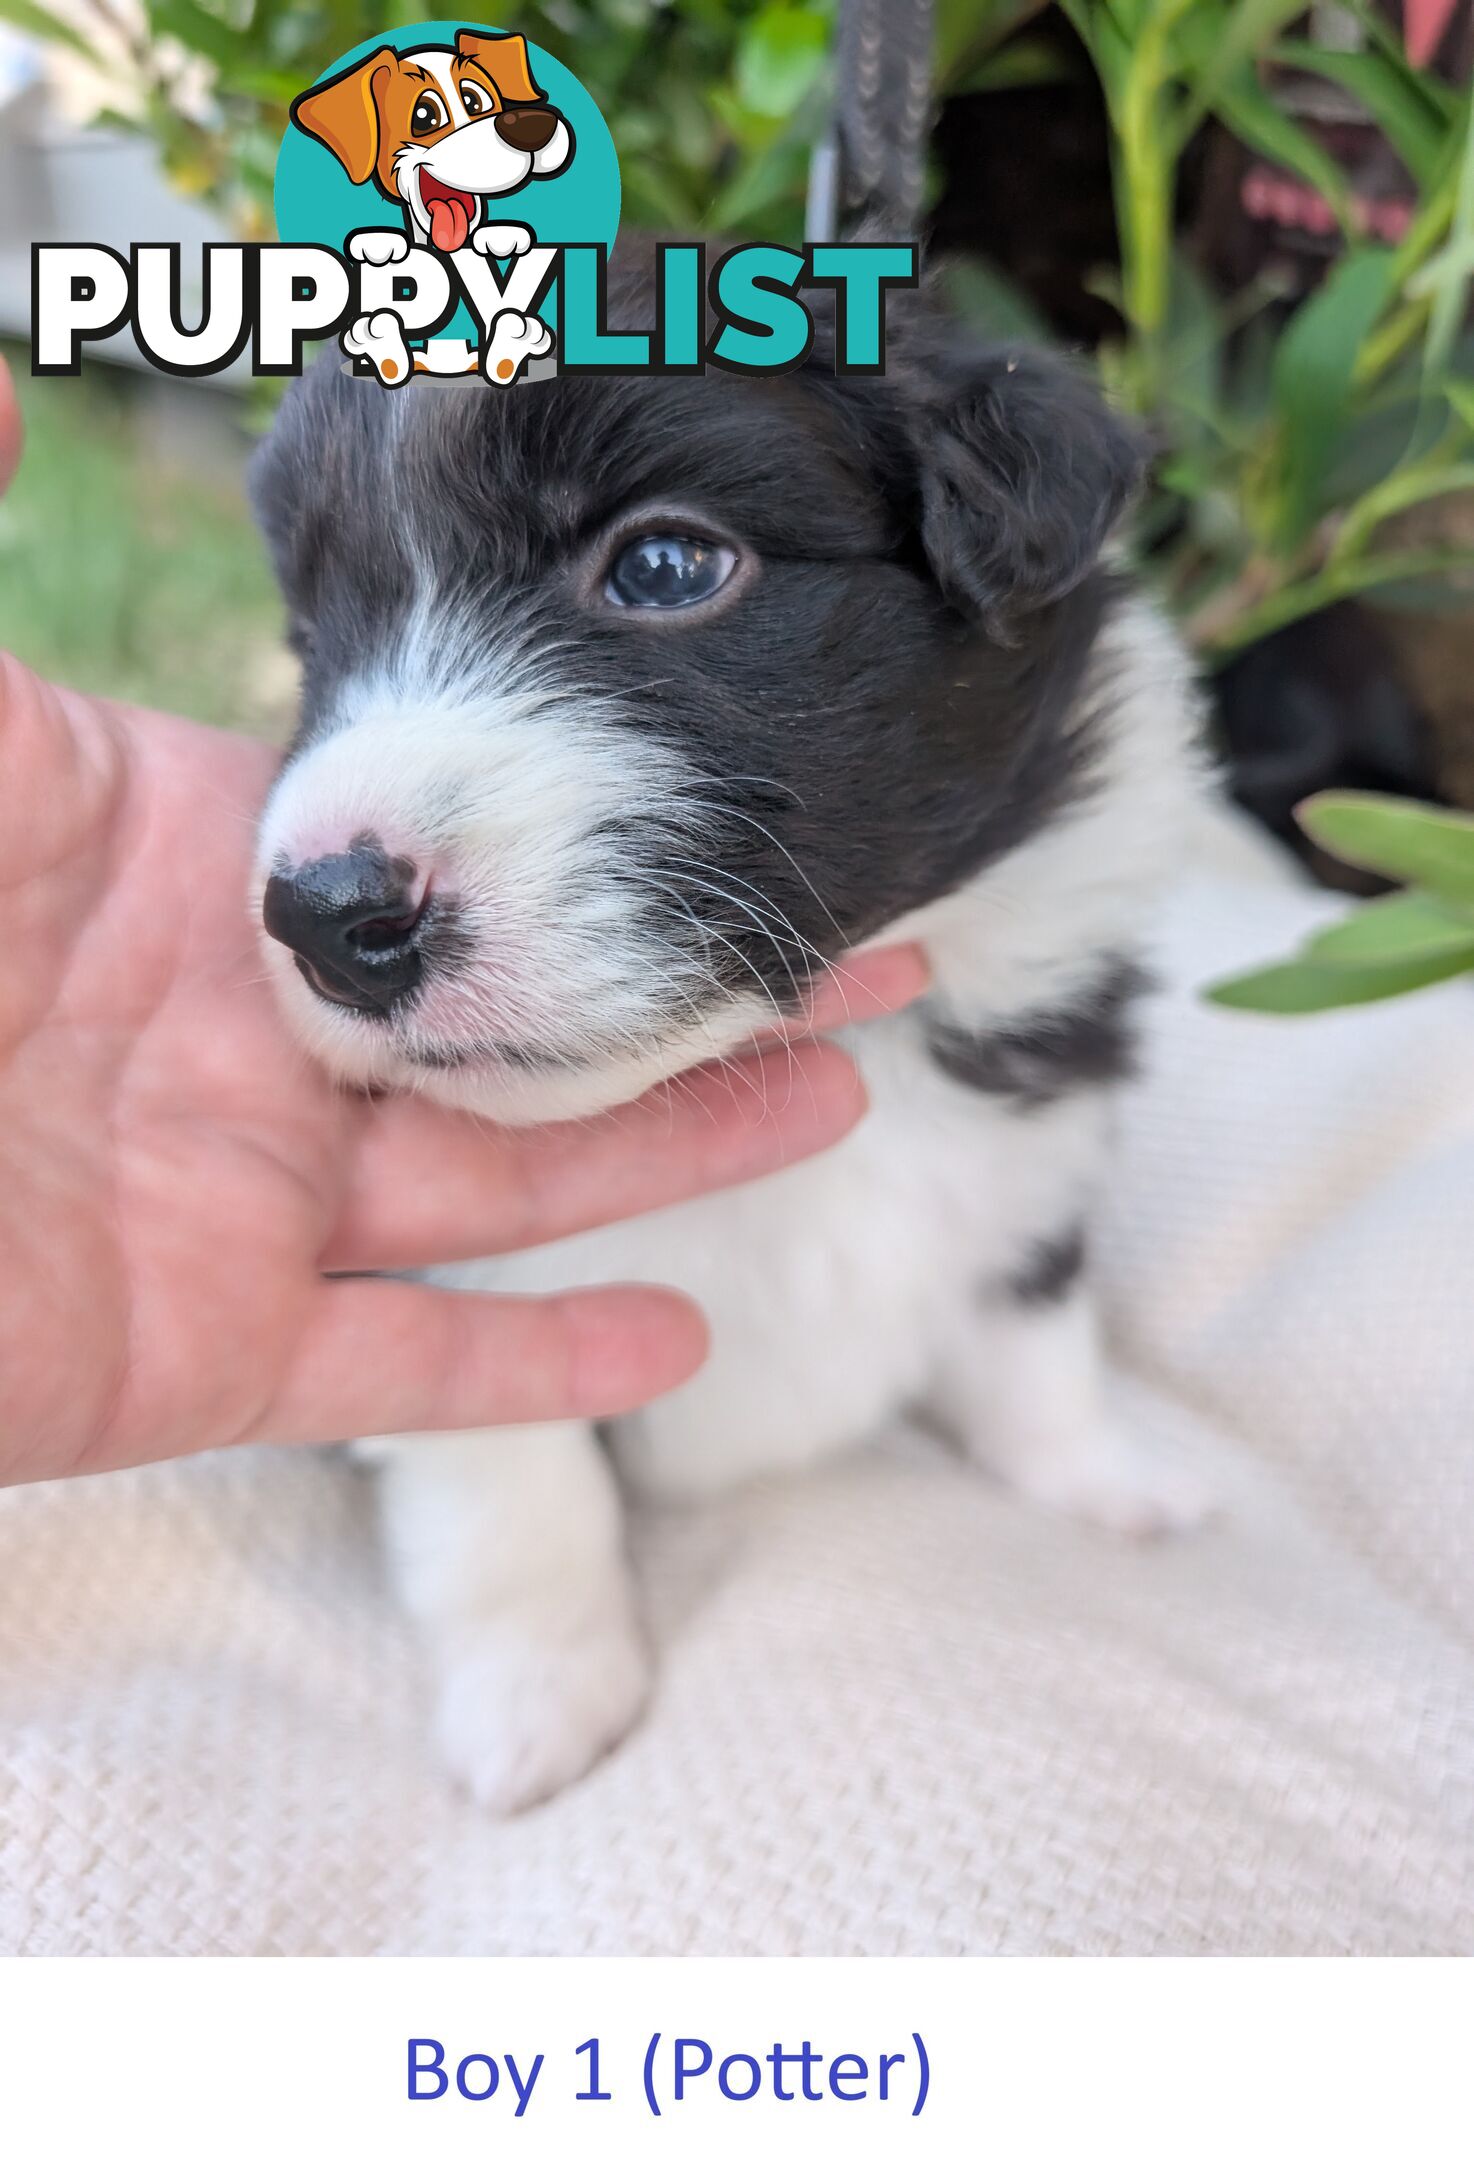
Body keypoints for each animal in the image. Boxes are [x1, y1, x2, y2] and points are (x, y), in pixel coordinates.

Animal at [246, 261, 1201, 1814]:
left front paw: (1103, 1478)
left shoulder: (1035, 1148)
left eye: (663, 568)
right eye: (313, 639)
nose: (322, 916)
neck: (773, 1063)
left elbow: (1033, 1335)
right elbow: (514, 1499)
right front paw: (542, 1704)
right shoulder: (460, 1301)